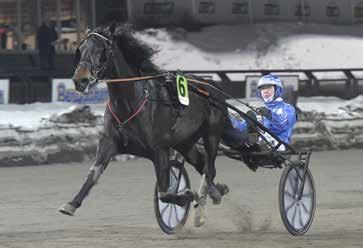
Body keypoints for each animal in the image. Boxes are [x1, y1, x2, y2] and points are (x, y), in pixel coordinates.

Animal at [59, 23, 230, 227]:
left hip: (211, 134)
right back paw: (216, 192)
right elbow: (93, 174)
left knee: (208, 168)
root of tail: (212, 85)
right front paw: (71, 204)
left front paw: (187, 195)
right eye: (81, 49)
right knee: (202, 165)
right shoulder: (109, 143)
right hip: (185, 142)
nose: (80, 80)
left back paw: (201, 208)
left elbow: (165, 193)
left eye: (101, 50)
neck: (130, 102)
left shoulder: (160, 149)